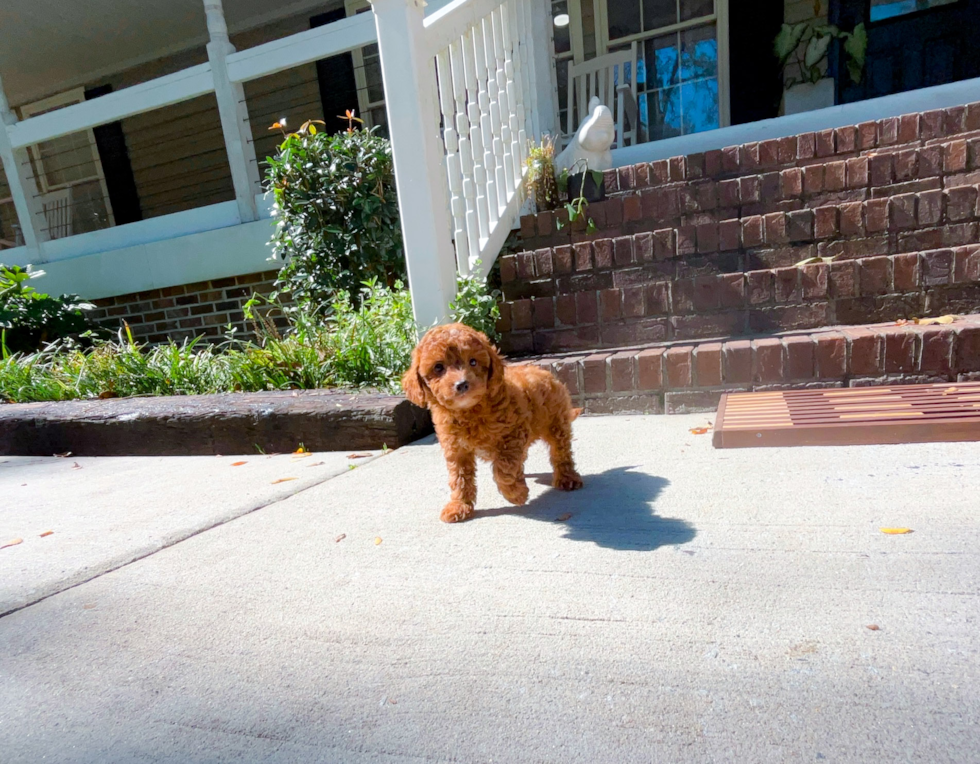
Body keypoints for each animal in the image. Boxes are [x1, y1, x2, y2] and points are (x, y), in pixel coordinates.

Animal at [400, 320, 580, 524]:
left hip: (556, 423)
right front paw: (459, 506)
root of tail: (545, 372)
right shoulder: (456, 449)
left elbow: (503, 469)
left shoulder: (512, 435)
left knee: (561, 452)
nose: (462, 384)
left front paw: (516, 494)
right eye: (438, 367)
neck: (470, 411)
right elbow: (459, 479)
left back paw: (567, 478)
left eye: (473, 361)